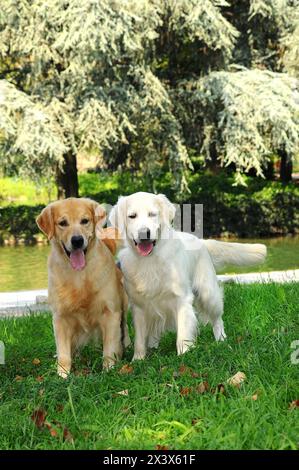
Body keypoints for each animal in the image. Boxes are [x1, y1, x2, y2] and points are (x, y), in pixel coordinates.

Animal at [36, 196, 130, 378]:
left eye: (85, 221)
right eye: (63, 223)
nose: (77, 240)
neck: (79, 275)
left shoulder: (111, 312)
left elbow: (109, 347)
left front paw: (109, 369)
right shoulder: (60, 317)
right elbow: (63, 352)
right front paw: (62, 375)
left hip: (122, 305)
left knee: (124, 328)